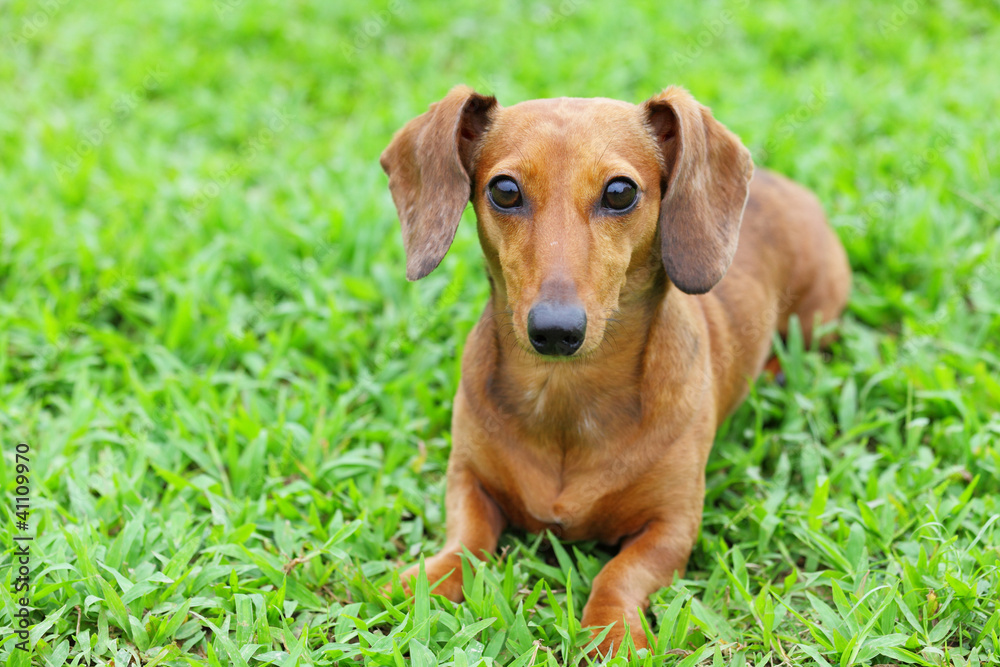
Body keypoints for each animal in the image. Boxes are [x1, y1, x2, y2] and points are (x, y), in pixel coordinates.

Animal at [378, 85, 848, 656]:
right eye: (505, 191)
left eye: (621, 192)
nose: (556, 330)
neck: (565, 397)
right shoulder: (467, 478)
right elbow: (466, 541)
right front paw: (426, 582)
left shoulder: (673, 526)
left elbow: (619, 573)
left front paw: (613, 632)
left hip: (818, 316)